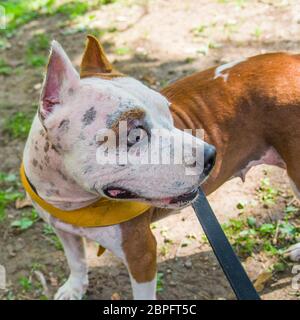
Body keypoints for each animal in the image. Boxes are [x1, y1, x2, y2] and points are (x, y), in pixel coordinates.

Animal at [22, 36, 300, 298]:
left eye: (168, 114)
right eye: (135, 135)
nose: (211, 155)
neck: (72, 200)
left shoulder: (141, 254)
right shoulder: (63, 230)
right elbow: (76, 260)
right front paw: (74, 288)